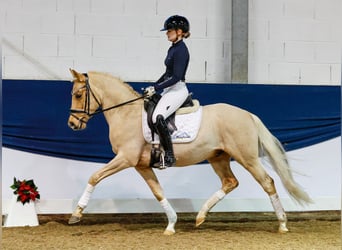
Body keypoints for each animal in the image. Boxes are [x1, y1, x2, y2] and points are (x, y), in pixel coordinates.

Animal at [67, 68, 312, 234]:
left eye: (78, 95)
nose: (72, 124)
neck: (126, 113)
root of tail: (247, 114)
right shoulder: (140, 165)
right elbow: (158, 192)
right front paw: (171, 224)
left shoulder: (125, 158)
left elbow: (95, 176)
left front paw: (76, 214)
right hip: (218, 157)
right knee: (230, 182)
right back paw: (200, 216)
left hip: (247, 158)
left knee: (267, 182)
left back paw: (282, 223)